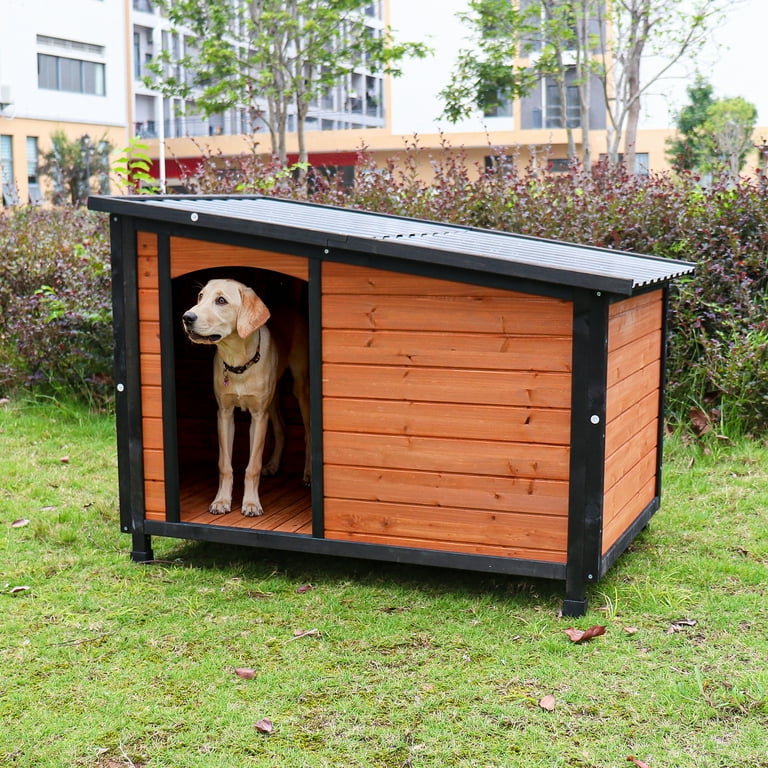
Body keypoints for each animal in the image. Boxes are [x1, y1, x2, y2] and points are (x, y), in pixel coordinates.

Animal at [182, 276, 310, 516]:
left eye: (221, 300)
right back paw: (273, 465)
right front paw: (221, 500)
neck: (238, 362)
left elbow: (252, 466)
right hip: (273, 398)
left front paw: (251, 503)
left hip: (300, 388)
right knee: (281, 427)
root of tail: (289, 305)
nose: (187, 317)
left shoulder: (258, 417)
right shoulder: (224, 414)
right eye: (201, 296)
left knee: (308, 432)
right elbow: (225, 464)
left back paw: (308, 474)